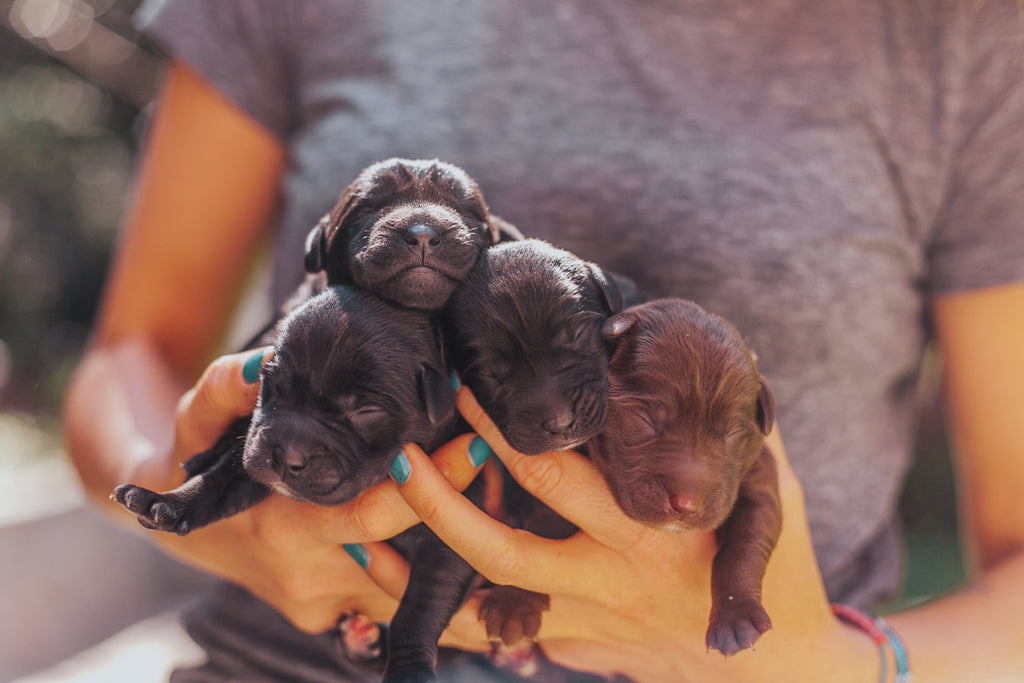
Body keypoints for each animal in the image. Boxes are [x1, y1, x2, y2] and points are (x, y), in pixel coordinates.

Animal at [113, 284, 483, 683]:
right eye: (272, 385)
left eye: (366, 411)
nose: (284, 456)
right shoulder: (250, 463)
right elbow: (219, 482)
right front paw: (168, 502)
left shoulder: (449, 544)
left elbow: (417, 612)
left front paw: (409, 670)